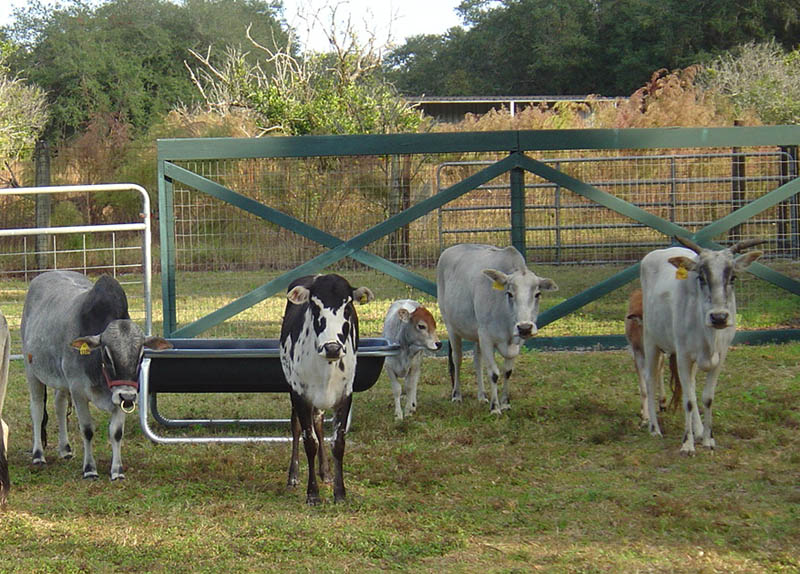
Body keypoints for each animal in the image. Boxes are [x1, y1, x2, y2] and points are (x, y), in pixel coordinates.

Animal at [21, 271, 171, 480]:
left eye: (141, 354)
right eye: (106, 354)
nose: (129, 396)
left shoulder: (119, 397)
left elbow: (116, 432)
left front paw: (117, 471)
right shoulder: (78, 392)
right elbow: (87, 430)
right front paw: (90, 469)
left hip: (62, 382)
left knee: (59, 406)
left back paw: (65, 449)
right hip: (32, 372)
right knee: (36, 410)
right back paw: (38, 455)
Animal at [280, 273, 374, 504]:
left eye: (347, 306)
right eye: (314, 305)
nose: (332, 348)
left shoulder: (345, 395)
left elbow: (338, 442)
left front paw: (340, 492)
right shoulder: (300, 394)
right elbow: (309, 441)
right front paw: (312, 493)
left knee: (319, 423)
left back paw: (326, 472)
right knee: (296, 426)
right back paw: (293, 476)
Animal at [437, 244, 558, 414]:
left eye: (538, 294)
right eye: (509, 293)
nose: (525, 327)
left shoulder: (514, 341)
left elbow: (507, 371)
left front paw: (505, 403)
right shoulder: (486, 337)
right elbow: (494, 373)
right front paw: (495, 408)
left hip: (476, 335)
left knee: (477, 361)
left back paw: (482, 396)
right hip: (451, 327)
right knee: (457, 359)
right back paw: (457, 395)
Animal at [640, 236, 763, 454]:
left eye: (733, 278)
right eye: (701, 278)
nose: (719, 317)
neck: (709, 337)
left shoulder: (720, 357)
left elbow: (706, 397)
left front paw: (707, 439)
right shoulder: (682, 356)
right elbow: (688, 401)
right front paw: (687, 444)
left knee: (691, 385)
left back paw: (697, 430)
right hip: (650, 340)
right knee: (651, 379)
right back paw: (654, 428)